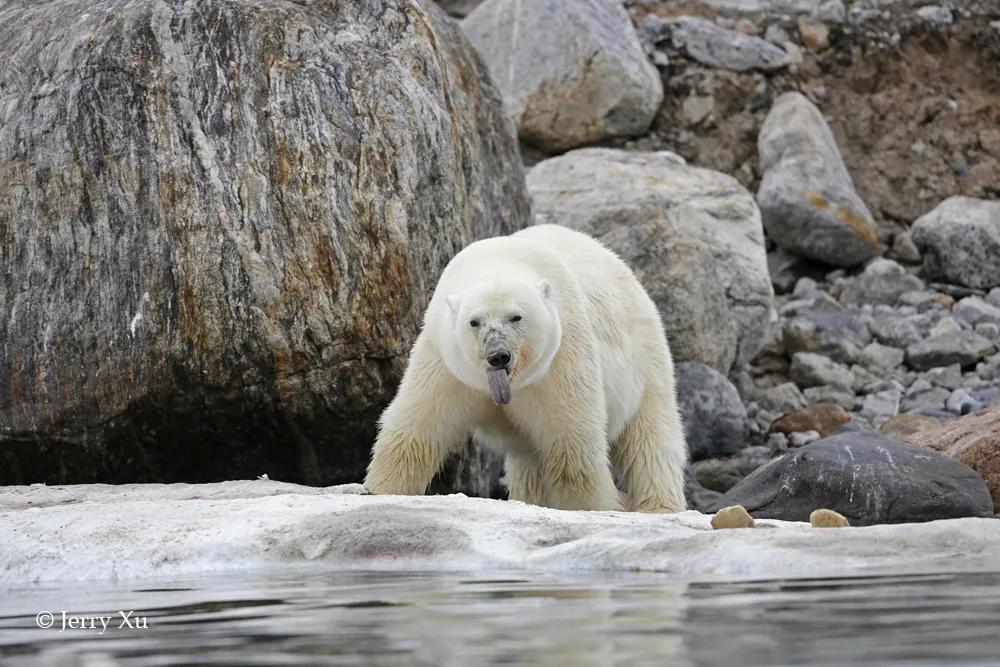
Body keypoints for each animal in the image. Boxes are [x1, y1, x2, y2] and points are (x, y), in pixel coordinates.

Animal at [366, 224, 688, 512]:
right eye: (474, 321)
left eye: (516, 317)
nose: (498, 356)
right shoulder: (447, 360)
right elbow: (418, 426)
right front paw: (379, 490)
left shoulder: (560, 354)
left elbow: (572, 441)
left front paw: (593, 507)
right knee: (528, 463)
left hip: (647, 359)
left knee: (651, 440)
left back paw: (659, 506)